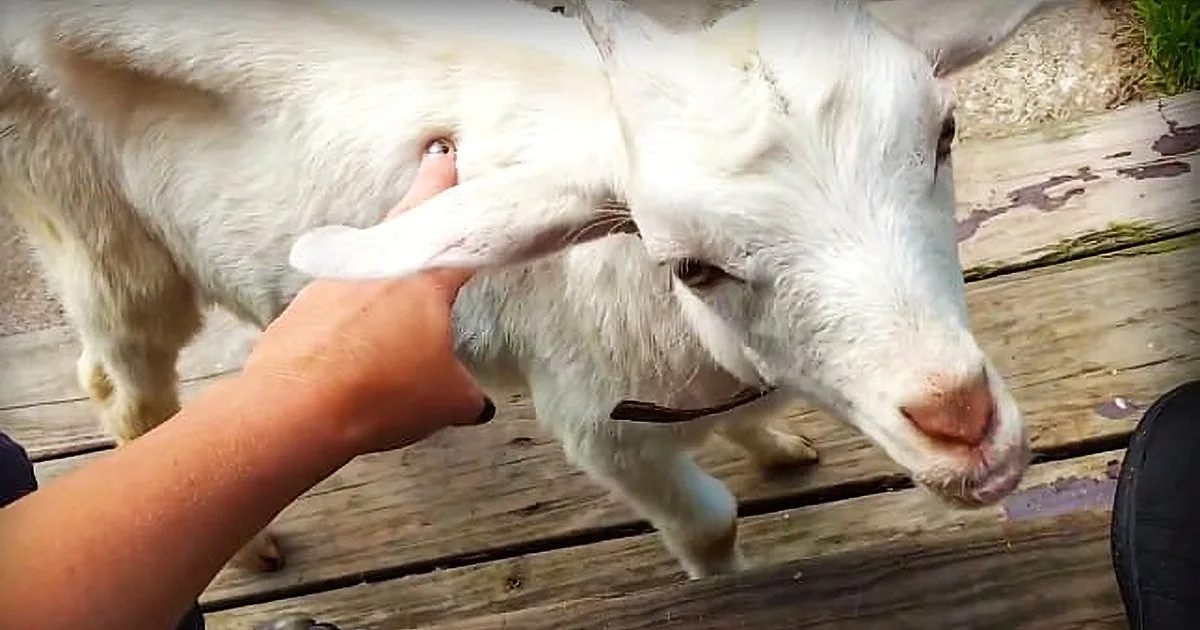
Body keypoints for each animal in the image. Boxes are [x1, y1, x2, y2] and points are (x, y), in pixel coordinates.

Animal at [0, 0, 1072, 578]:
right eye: (690, 264)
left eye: (945, 136)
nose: (961, 421)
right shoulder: (599, 424)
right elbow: (709, 521)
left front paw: (776, 445)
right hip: (94, 231)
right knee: (121, 383)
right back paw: (247, 547)